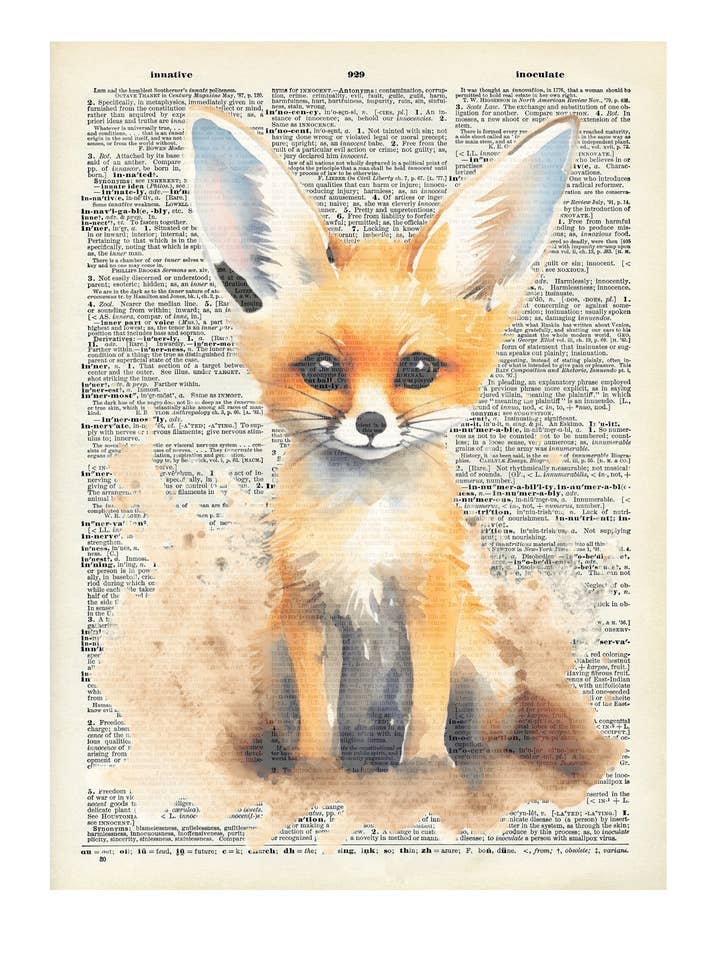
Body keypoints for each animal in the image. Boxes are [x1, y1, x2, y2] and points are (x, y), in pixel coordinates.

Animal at [184, 106, 579, 768]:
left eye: (416, 369)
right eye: (322, 369)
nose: (371, 426)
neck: (362, 525)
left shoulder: (431, 601)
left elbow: (428, 708)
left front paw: (425, 772)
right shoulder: (307, 608)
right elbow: (319, 721)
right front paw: (317, 775)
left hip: (484, 675)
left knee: (482, 736)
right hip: (274, 663)